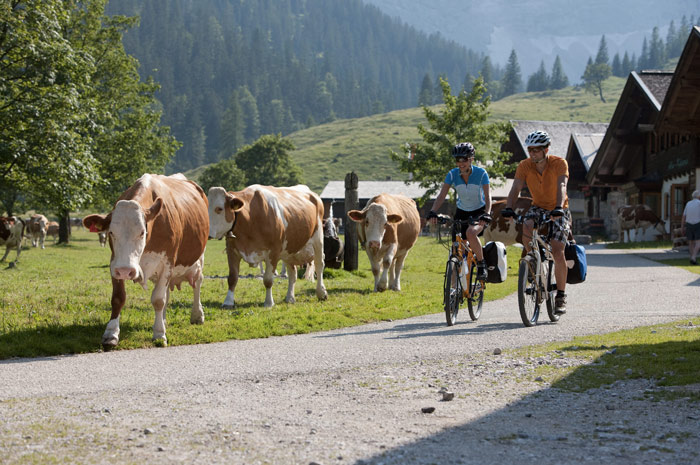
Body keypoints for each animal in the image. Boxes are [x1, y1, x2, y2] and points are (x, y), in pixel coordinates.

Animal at [82, 174, 208, 348]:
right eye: (111, 232)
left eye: (142, 232)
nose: (126, 271)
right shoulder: (115, 263)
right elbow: (118, 298)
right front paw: (111, 333)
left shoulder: (167, 263)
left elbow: (158, 300)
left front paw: (159, 335)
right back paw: (163, 320)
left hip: (199, 258)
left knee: (197, 283)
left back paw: (197, 315)